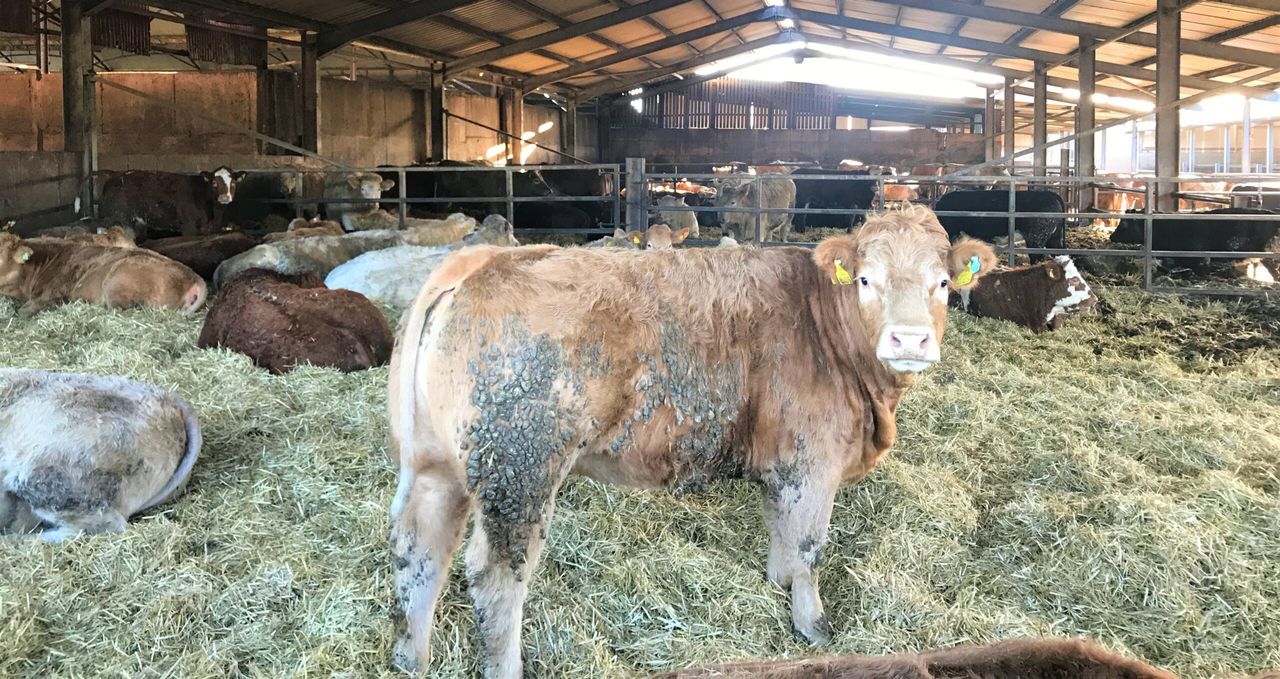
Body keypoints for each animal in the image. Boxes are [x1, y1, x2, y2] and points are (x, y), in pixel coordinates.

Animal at [98, 167, 246, 239]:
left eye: (233, 183)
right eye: (214, 182)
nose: (225, 197)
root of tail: (115, 174)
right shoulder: (189, 227)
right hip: (114, 217)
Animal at [384, 205, 997, 676]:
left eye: (943, 283)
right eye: (867, 279)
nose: (910, 340)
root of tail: (484, 261)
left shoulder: (780, 461)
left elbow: (780, 528)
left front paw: (777, 582)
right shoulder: (811, 461)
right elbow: (808, 546)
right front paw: (813, 625)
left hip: (433, 464)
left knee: (418, 550)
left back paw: (410, 658)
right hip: (520, 470)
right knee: (496, 575)